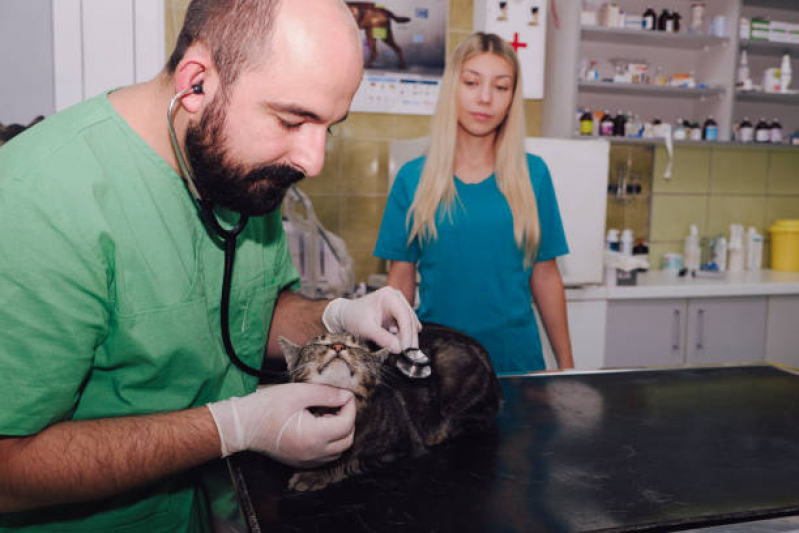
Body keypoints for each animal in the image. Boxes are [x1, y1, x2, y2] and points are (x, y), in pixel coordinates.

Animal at [280, 320, 500, 490]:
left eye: (356, 346)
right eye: (320, 342)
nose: (338, 347)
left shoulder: (399, 448)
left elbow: (352, 461)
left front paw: (314, 473)